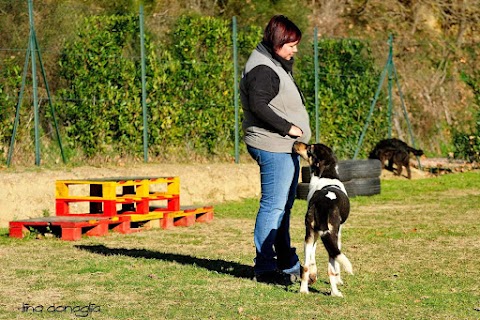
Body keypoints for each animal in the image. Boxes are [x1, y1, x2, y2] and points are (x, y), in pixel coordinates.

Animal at [292, 142, 352, 298]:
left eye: (309, 148)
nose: (295, 142)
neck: (327, 175)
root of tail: (325, 203)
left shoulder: (316, 233)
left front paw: (313, 276)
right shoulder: (337, 235)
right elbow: (337, 264)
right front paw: (339, 280)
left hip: (309, 235)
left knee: (306, 266)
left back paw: (304, 289)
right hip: (331, 235)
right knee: (331, 268)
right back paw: (335, 292)